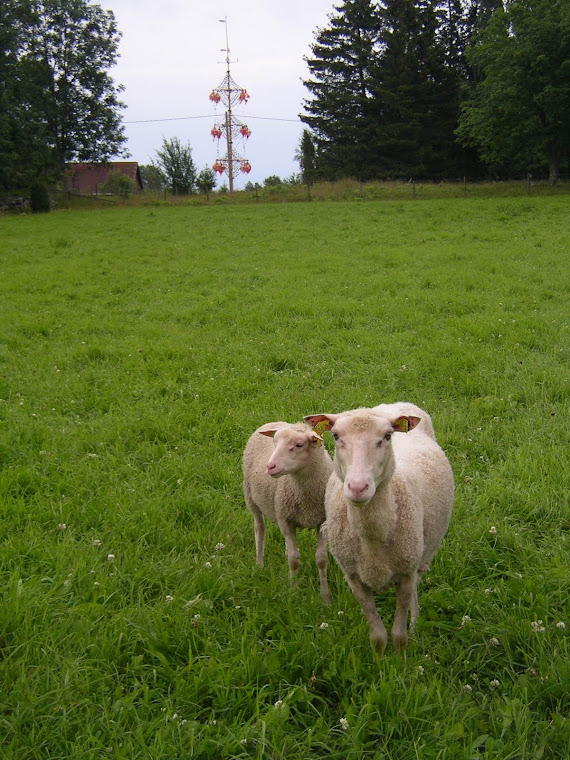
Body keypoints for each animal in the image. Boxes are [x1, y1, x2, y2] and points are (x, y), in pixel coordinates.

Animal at [241, 418, 332, 604]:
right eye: (275, 443)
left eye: (299, 445)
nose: (270, 466)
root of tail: (271, 421)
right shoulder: (286, 520)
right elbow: (294, 560)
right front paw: (294, 593)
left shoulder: (322, 521)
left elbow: (321, 559)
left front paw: (325, 597)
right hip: (251, 498)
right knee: (260, 529)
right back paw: (259, 564)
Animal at [302, 406, 452, 656]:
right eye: (336, 436)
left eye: (387, 436)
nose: (357, 487)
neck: (373, 537)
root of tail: (395, 404)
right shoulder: (354, 577)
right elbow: (378, 637)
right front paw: (380, 662)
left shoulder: (406, 573)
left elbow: (399, 636)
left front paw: (401, 663)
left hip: (418, 556)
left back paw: (415, 624)